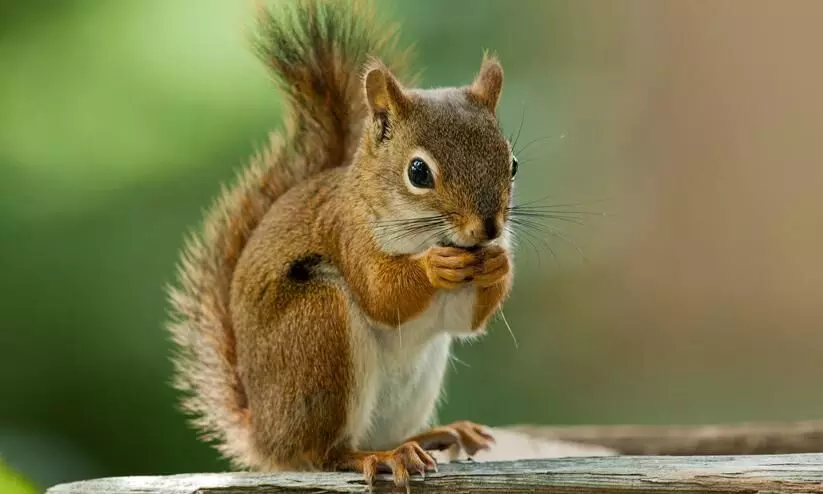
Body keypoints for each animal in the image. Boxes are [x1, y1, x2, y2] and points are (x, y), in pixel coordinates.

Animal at [167, 0, 513, 487]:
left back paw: (432, 436)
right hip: (319, 331)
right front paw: (433, 267)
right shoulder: (349, 235)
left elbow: (467, 320)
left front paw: (499, 264)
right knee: (325, 453)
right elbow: (382, 294)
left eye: (513, 164)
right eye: (418, 172)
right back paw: (378, 457)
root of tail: (266, 439)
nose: (488, 229)